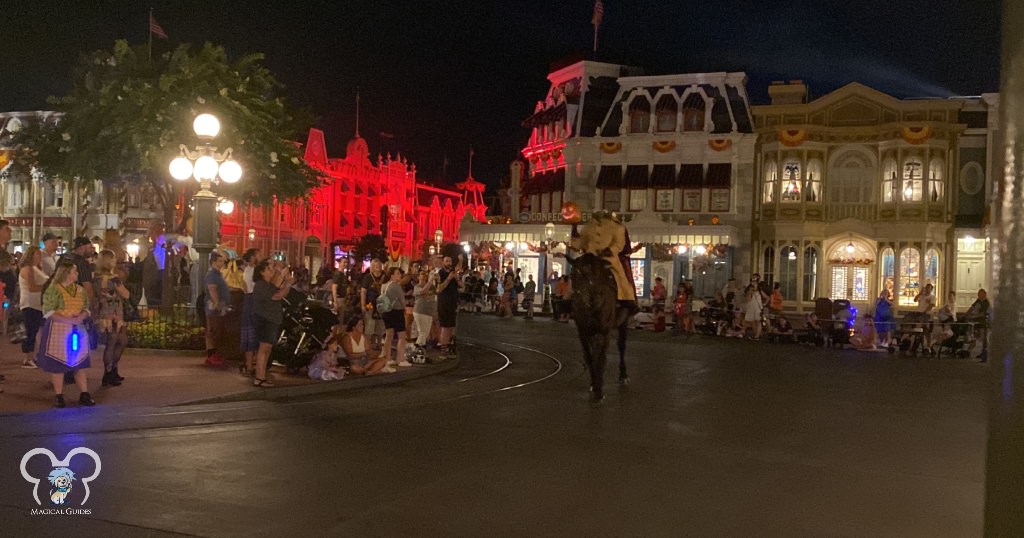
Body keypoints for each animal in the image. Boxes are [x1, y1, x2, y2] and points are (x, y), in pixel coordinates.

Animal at [569, 254, 630, 399]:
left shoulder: (605, 331)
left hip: (623, 322)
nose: (584, 301)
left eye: (594, 275)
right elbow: (589, 356)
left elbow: (602, 357)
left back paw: (623, 375)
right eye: (572, 274)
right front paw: (594, 383)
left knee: (621, 346)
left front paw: (599, 389)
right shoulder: (583, 332)